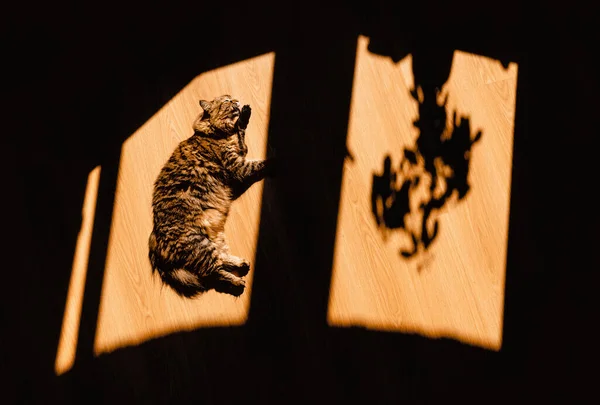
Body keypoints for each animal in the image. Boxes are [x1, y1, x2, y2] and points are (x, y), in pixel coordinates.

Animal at [149, 94, 276, 296]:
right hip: (200, 244)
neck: (212, 133)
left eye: (231, 99)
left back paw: (241, 263)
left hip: (213, 239)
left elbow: (241, 133)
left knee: (221, 258)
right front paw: (275, 160)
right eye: (226, 101)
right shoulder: (237, 166)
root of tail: (154, 239)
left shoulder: (240, 152)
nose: (236, 101)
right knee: (215, 272)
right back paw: (237, 282)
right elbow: (256, 161)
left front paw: (244, 115)